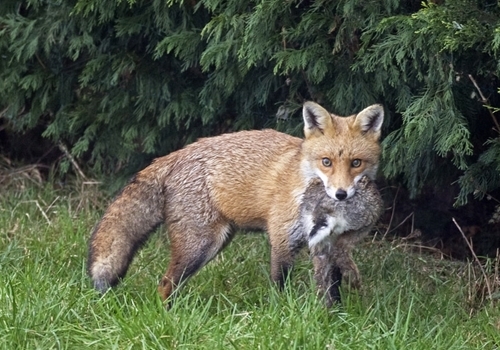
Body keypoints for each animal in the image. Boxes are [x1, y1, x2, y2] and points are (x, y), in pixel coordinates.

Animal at [300, 176, 382, 304]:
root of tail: (325, 210)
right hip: (357, 227)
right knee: (340, 252)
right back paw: (356, 284)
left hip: (316, 239)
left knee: (320, 271)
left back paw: (325, 304)